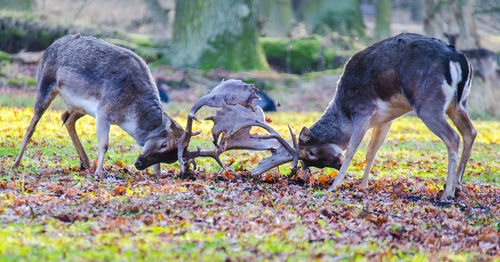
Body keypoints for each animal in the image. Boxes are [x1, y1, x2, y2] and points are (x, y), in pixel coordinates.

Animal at [12, 34, 185, 177]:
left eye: (171, 157)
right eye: (164, 144)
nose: (139, 164)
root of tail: (47, 49)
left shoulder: (99, 110)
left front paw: (157, 175)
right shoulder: (104, 111)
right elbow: (104, 144)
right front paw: (99, 173)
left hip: (80, 106)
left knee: (66, 118)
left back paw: (85, 162)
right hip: (45, 85)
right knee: (32, 125)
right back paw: (16, 163)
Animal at [296, 32, 476, 201]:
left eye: (311, 153)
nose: (337, 165)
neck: (345, 110)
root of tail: (459, 61)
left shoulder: (362, 110)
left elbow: (352, 150)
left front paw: (334, 186)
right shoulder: (385, 119)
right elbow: (371, 151)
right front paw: (363, 186)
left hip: (428, 105)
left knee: (453, 137)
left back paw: (447, 194)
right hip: (458, 104)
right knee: (470, 132)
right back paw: (457, 186)